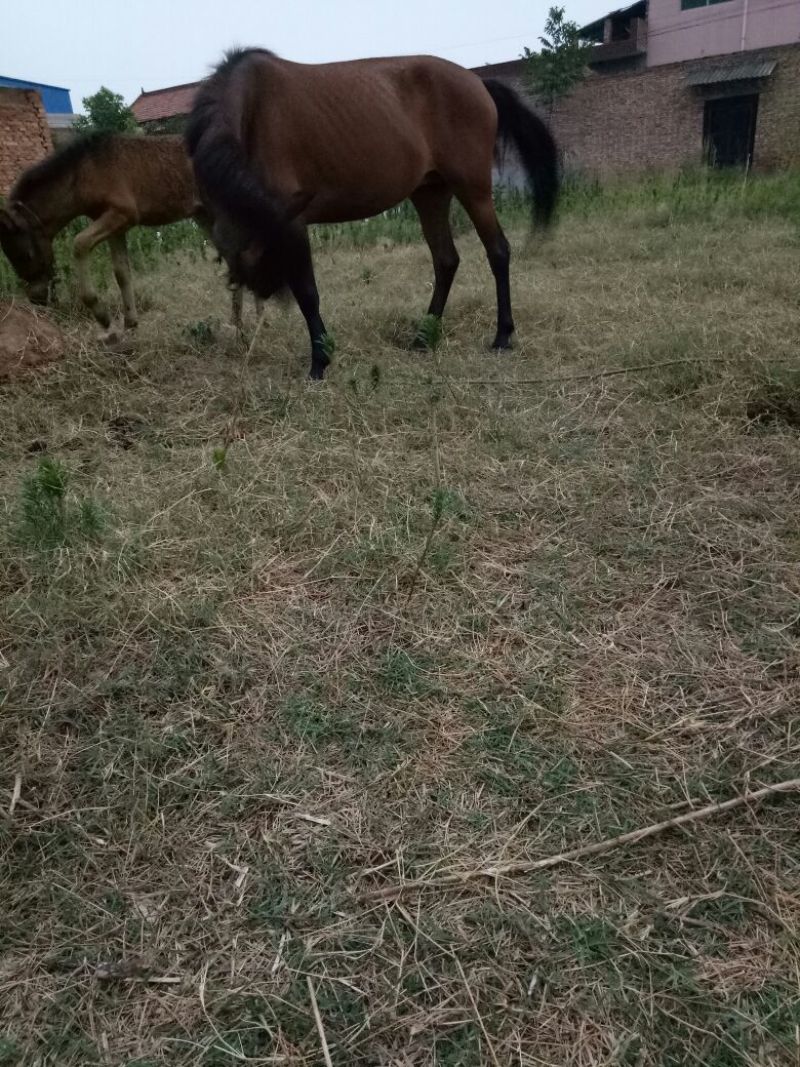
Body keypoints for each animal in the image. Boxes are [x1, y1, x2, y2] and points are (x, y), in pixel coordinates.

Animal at [0, 132, 257, 336]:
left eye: (25, 254)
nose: (37, 298)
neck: (85, 172)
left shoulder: (123, 214)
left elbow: (79, 244)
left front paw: (102, 315)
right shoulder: (116, 225)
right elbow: (121, 272)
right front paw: (130, 323)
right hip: (203, 215)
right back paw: (238, 321)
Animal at [186, 48, 559, 380]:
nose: (265, 288)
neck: (253, 110)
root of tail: (478, 82)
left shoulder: (292, 222)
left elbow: (307, 292)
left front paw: (320, 361)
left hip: (473, 188)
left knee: (497, 251)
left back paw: (502, 336)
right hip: (430, 193)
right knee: (446, 260)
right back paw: (423, 337)